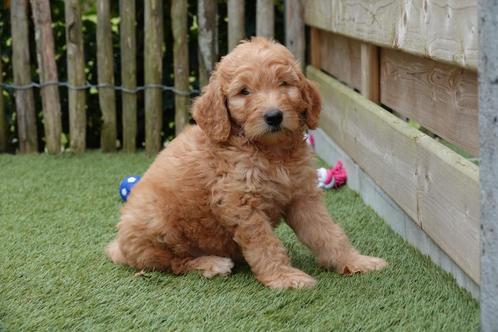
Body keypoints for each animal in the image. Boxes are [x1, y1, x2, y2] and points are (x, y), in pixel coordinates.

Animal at [107, 37, 388, 288]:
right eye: (244, 92)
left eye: (284, 83)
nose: (274, 116)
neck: (271, 153)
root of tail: (118, 247)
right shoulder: (240, 204)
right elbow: (265, 244)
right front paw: (285, 278)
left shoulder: (302, 196)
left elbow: (327, 232)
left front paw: (355, 261)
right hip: (156, 219)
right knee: (174, 262)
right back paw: (212, 263)